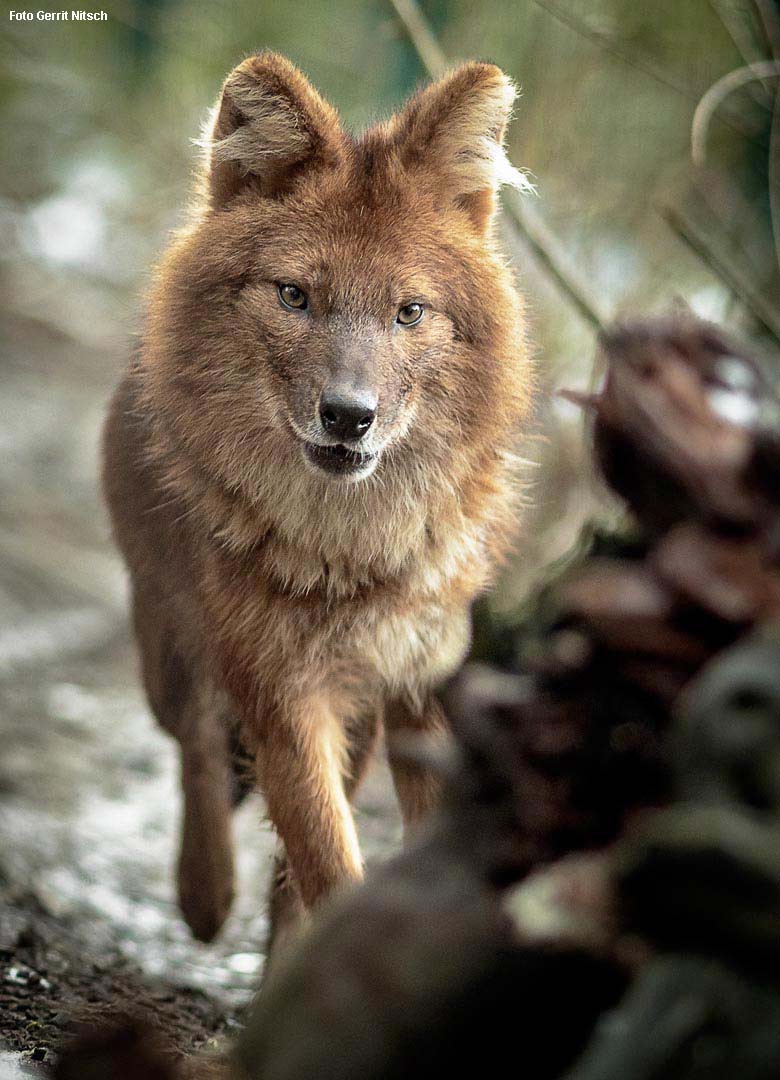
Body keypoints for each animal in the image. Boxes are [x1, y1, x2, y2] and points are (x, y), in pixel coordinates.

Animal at [100, 50, 531, 954]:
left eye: (410, 311)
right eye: (294, 296)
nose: (348, 414)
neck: (352, 548)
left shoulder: (417, 681)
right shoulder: (287, 698)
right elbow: (330, 865)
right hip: (169, 646)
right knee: (196, 741)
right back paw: (205, 893)